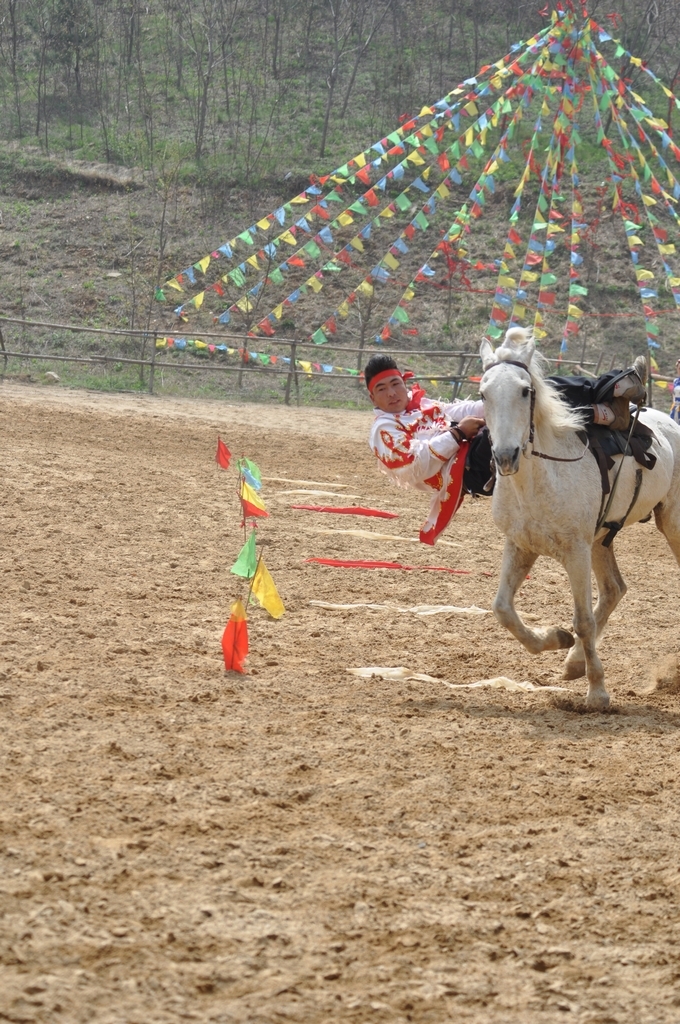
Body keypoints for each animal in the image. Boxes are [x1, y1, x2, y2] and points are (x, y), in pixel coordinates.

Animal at [477, 323, 680, 708]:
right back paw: (573, 662)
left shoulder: (576, 552)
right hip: (601, 539)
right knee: (614, 589)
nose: (506, 456)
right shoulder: (520, 546)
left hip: (670, 525)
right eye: (483, 394)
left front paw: (597, 691)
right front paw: (557, 639)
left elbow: (583, 620)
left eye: (525, 391)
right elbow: (502, 609)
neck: (543, 479)